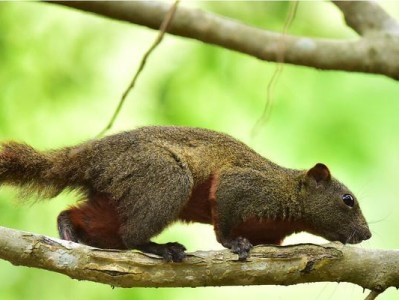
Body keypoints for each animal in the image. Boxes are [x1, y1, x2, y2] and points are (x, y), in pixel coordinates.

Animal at [0, 125, 372, 262]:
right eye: (348, 200)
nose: (367, 234)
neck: (288, 192)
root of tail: (90, 156)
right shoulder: (243, 185)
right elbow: (223, 223)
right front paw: (234, 244)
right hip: (166, 179)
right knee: (132, 235)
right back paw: (162, 248)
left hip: (118, 199)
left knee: (85, 219)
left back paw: (69, 232)